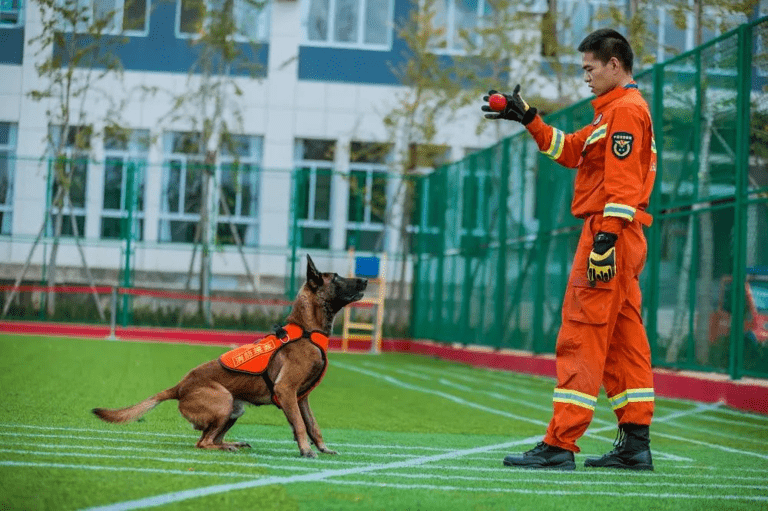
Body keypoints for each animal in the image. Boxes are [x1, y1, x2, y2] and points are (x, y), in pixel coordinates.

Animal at [93, 256, 368, 460]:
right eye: (337, 278)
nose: (366, 280)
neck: (306, 331)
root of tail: (179, 387)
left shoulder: (302, 398)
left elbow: (312, 425)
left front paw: (322, 448)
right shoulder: (286, 390)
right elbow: (300, 425)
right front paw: (306, 450)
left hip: (235, 409)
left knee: (211, 438)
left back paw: (232, 443)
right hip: (223, 401)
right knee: (203, 442)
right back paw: (226, 446)